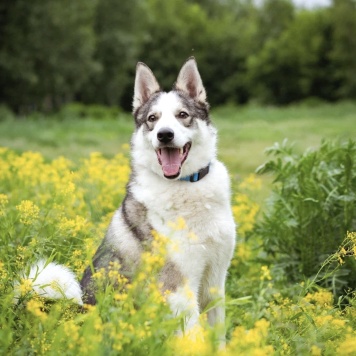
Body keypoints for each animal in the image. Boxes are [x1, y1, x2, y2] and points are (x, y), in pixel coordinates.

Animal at [21, 57, 236, 336]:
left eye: (182, 115)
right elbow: (191, 337)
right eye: (152, 119)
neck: (185, 186)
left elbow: (216, 337)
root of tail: (73, 311)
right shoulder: (179, 288)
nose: (164, 134)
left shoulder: (214, 283)